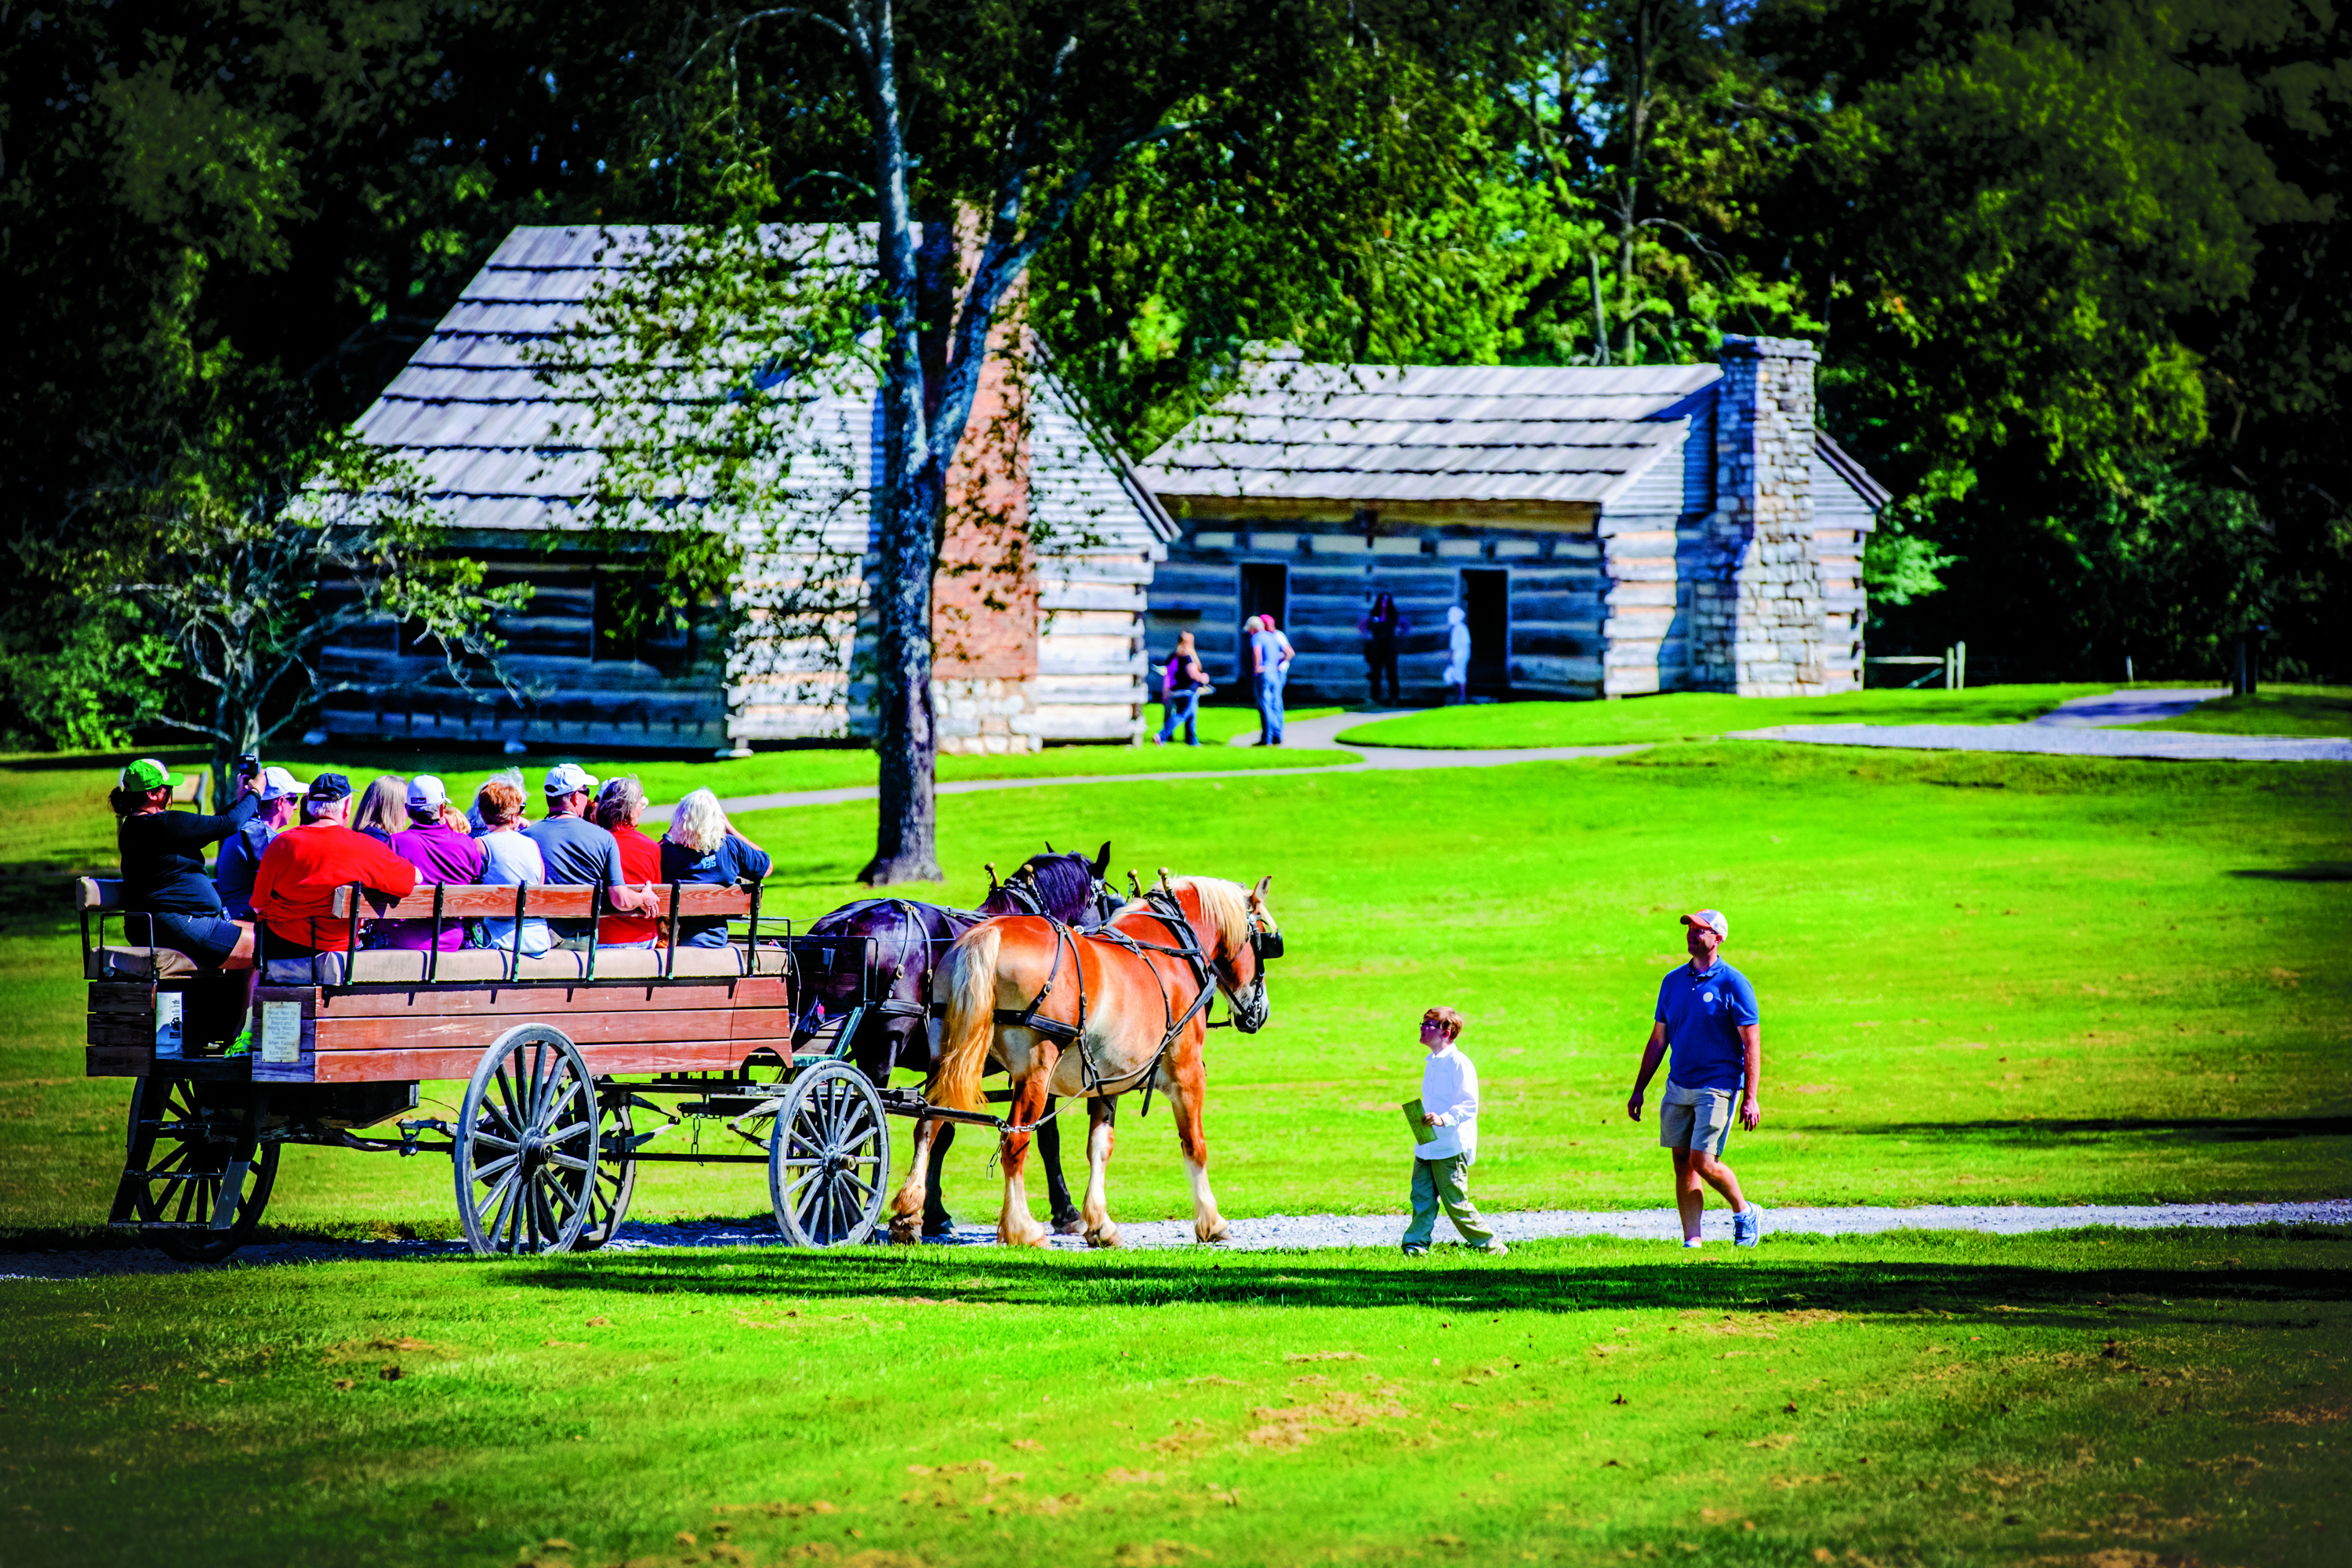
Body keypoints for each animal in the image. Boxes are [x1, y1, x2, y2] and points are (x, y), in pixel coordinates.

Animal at [795, 846, 1115, 1241]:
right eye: (1104, 901)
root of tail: (843, 924)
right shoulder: (1039, 1060)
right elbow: (1046, 1136)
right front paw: (1066, 1211)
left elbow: (940, 1129)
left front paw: (930, 1212)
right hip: (882, 1047)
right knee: (853, 1122)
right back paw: (849, 1211)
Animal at [917, 879, 1289, 1241]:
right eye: (1265, 941)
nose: (1261, 1012)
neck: (1174, 948)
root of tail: (989, 933)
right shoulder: (1188, 1073)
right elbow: (1195, 1145)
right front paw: (1212, 1222)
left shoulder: (1106, 1080)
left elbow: (1099, 1147)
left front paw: (1100, 1224)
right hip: (1034, 1071)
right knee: (1014, 1141)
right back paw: (1022, 1228)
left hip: (944, 1059)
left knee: (928, 1124)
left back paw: (909, 1214)